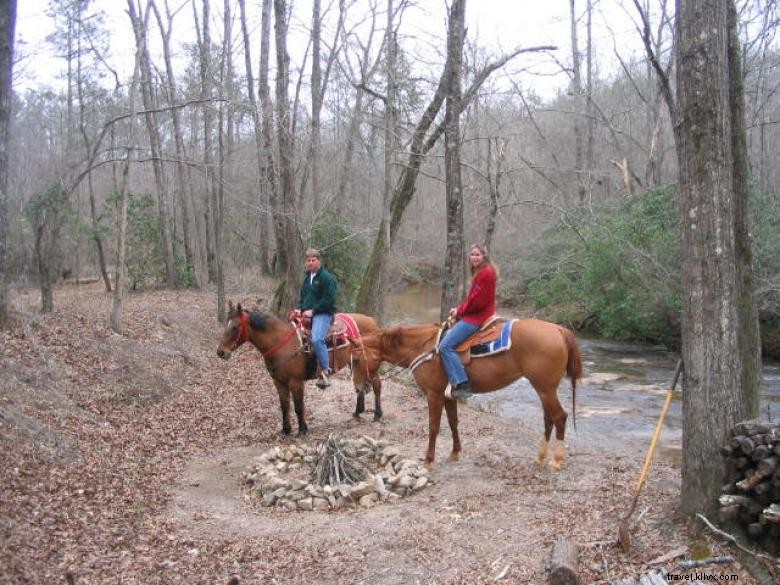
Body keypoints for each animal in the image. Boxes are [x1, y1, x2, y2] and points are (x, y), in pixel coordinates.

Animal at [216, 302, 384, 434]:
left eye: (236, 327)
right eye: (226, 325)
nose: (221, 352)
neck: (280, 343)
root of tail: (372, 321)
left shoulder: (295, 382)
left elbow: (298, 406)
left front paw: (302, 430)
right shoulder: (278, 382)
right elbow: (284, 406)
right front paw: (286, 430)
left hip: (369, 366)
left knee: (376, 385)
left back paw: (377, 414)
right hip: (355, 364)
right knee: (360, 386)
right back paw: (357, 412)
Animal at [350, 318, 580, 468]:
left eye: (357, 360)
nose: (359, 388)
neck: (423, 347)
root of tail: (559, 330)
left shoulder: (433, 394)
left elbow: (433, 427)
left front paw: (428, 460)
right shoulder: (447, 396)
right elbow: (453, 423)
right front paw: (455, 452)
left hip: (546, 388)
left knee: (560, 416)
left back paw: (557, 460)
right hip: (542, 388)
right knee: (548, 418)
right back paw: (540, 456)